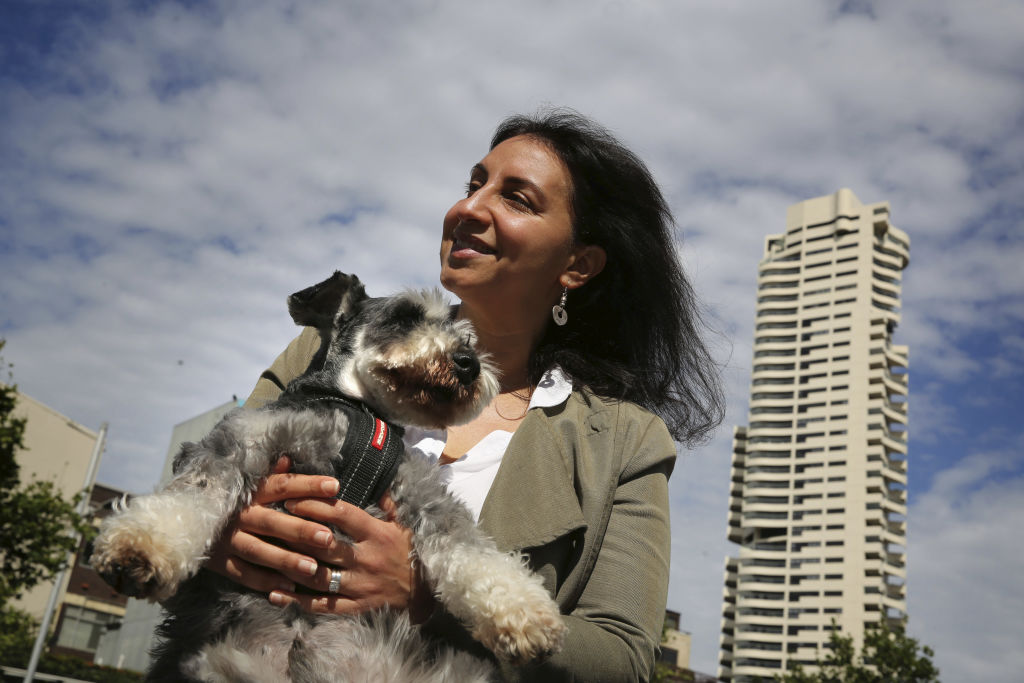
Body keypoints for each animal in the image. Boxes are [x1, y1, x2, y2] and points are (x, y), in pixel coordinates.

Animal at [91, 272, 565, 683]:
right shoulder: (239, 442)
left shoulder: (421, 493)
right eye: (404, 317)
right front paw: (139, 547)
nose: (468, 363)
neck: (354, 411)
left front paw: (526, 614)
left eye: (465, 337)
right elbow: (192, 493)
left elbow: (470, 549)